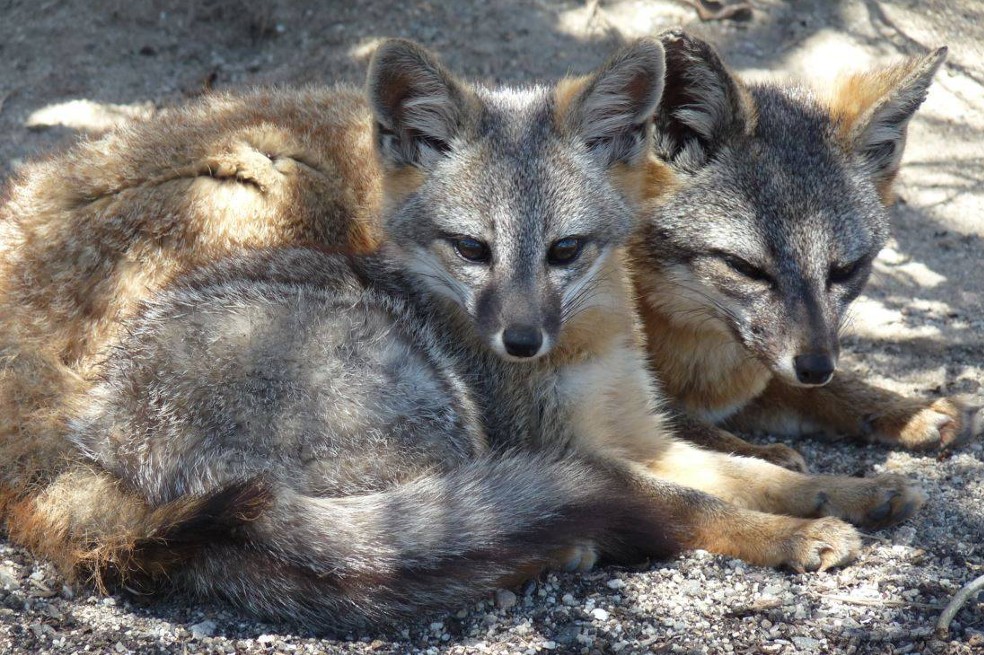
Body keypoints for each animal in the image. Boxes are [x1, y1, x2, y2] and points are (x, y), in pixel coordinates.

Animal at [34, 39, 929, 631]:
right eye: (472, 249)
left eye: (565, 250)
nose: (521, 339)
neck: (594, 351)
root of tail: (115, 460)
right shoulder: (579, 451)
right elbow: (702, 504)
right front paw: (794, 535)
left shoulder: (642, 434)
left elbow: (748, 474)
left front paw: (846, 492)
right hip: (432, 417)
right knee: (412, 551)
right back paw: (559, 546)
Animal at [630, 30, 982, 471]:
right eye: (745, 268)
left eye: (846, 270)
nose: (815, 367)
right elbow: (674, 423)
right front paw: (758, 456)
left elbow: (830, 390)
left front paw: (905, 410)